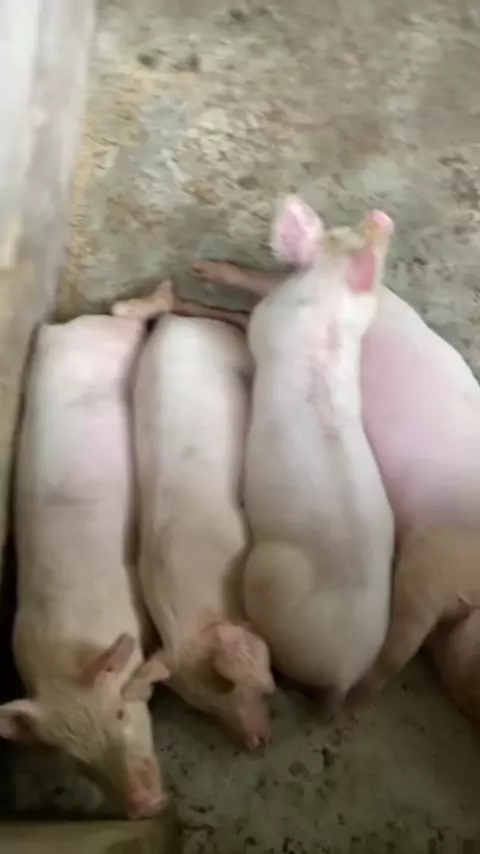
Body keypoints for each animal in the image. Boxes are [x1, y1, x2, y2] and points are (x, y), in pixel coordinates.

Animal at [0, 316, 169, 818]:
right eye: (77, 760)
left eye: (120, 713)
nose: (145, 806)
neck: (61, 654)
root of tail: (67, 328)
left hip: (115, 337)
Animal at [133, 315, 274, 748]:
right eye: (204, 708)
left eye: (235, 686)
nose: (256, 742)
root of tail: (177, 320)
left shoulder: (240, 540)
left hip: (231, 347)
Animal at [239, 197, 395, 704]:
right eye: (348, 231)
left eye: (334, 233)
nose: (377, 217)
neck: (327, 305)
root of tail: (343, 672)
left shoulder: (266, 320)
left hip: (265, 570)